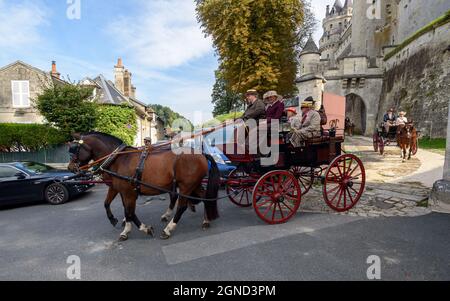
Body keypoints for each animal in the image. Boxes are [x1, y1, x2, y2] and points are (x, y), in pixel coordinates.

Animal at [67, 131, 221, 239]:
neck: (119, 158)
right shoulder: (118, 189)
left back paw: (168, 228)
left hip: (185, 186)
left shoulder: (128, 192)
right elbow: (112, 205)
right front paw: (121, 224)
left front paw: (143, 228)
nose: (70, 167)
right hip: (193, 184)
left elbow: (129, 211)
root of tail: (201, 154)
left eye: (75, 149)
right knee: (204, 197)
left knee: (181, 206)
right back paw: (206, 220)